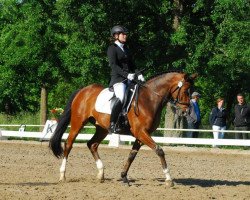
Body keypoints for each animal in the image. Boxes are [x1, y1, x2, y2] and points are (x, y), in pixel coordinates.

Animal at [49, 71, 197, 186]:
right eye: (185, 91)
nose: (185, 112)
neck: (149, 99)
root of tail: (83, 90)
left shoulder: (141, 134)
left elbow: (132, 155)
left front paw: (124, 176)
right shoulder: (140, 132)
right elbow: (159, 150)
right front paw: (168, 178)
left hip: (102, 128)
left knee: (92, 144)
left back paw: (101, 174)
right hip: (78, 123)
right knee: (68, 144)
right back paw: (62, 175)